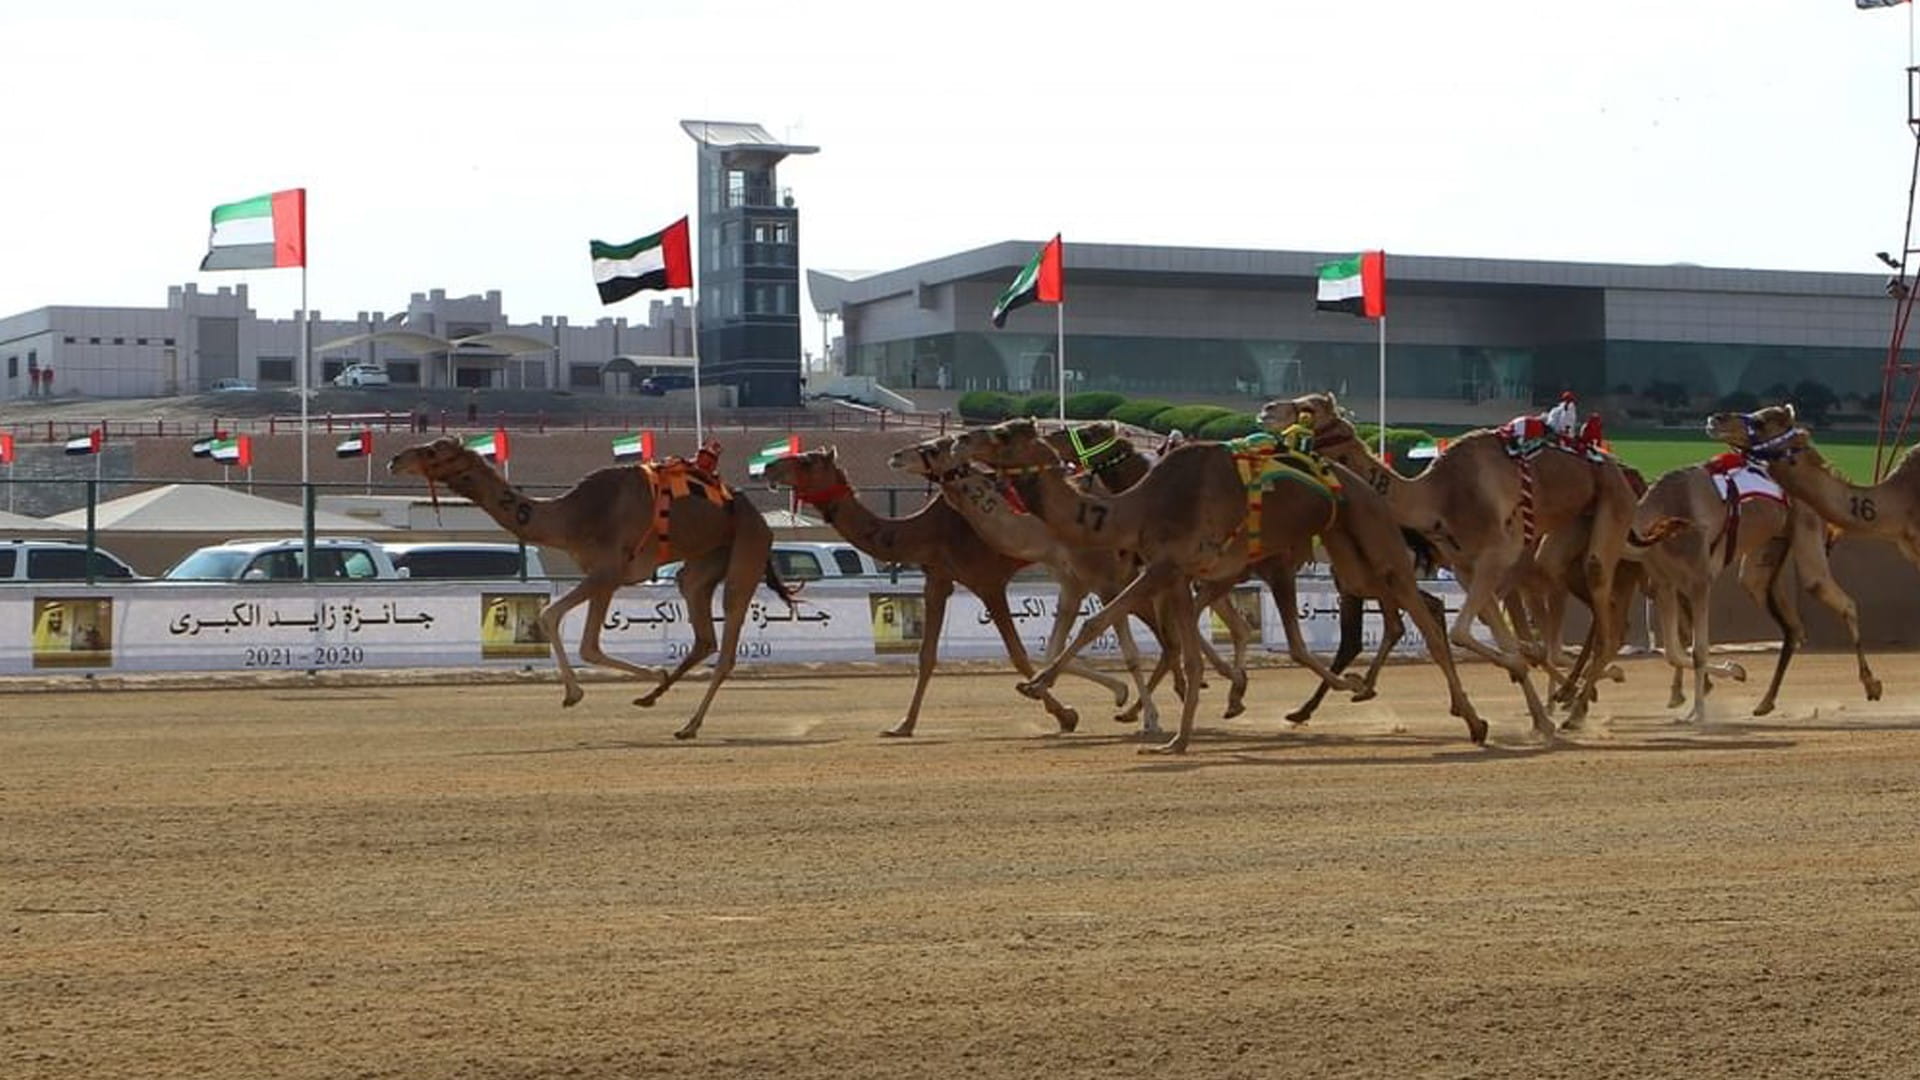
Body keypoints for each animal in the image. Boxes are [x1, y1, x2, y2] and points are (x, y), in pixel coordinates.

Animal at [385, 432, 791, 734]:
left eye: (433, 450)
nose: (395, 459)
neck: (571, 517)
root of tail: (759, 517)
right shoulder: (605, 578)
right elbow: (587, 644)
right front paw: (643, 678)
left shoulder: (607, 571)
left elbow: (553, 618)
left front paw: (579, 692)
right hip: (704, 561)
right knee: (702, 628)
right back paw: (653, 698)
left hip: (747, 550)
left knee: (727, 641)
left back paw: (688, 724)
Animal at [760, 443, 1121, 730]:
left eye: (807, 461)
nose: (768, 467)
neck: (929, 530)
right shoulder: (937, 578)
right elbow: (926, 655)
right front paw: (903, 725)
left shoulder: (988, 582)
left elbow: (1017, 654)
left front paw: (1065, 715)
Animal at [960, 417, 1482, 753]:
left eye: (1003, 433)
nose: (962, 439)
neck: (1136, 505)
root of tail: (1368, 484)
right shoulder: (1178, 574)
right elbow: (1186, 650)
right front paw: (1177, 738)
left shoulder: (1166, 567)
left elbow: (1102, 621)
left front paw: (1037, 685)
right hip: (1349, 557)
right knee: (1402, 613)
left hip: (1374, 538)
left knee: (1427, 623)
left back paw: (1475, 722)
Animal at [1267, 386, 1643, 730]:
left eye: (1309, 409)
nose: (1268, 409)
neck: (1439, 498)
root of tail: (1621, 469)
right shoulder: (1466, 567)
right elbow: (1500, 639)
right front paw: (1538, 719)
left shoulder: (1494, 555)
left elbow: (1464, 632)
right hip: (1575, 525)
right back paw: (1574, 696)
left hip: (1613, 504)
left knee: (1604, 613)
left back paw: (1580, 704)